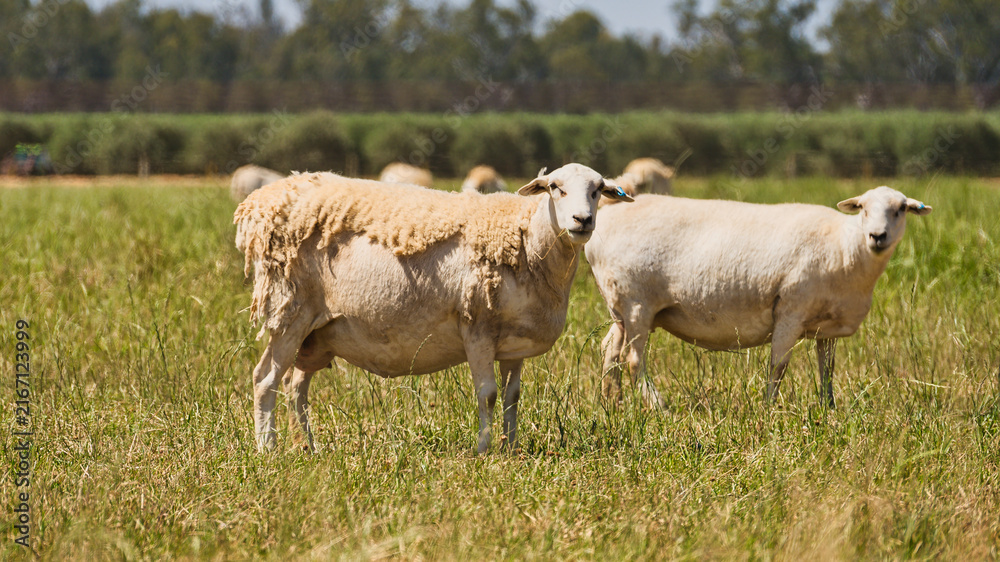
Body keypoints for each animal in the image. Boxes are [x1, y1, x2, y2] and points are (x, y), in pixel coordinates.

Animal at [234, 164, 633, 453]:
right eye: (555, 187)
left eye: (597, 190)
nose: (582, 221)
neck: (528, 241)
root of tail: (261, 202)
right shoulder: (477, 327)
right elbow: (487, 393)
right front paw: (484, 450)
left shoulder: (514, 344)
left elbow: (512, 397)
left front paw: (512, 449)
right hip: (289, 311)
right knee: (265, 380)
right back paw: (268, 449)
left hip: (317, 333)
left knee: (295, 386)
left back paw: (309, 447)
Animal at [585, 186, 932, 409]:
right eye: (863, 209)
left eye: (900, 209)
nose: (877, 236)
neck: (845, 246)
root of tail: (607, 217)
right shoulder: (790, 310)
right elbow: (778, 366)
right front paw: (768, 409)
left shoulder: (826, 326)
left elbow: (827, 369)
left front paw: (828, 408)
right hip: (636, 302)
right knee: (633, 359)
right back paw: (658, 406)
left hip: (621, 305)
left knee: (610, 349)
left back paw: (612, 402)